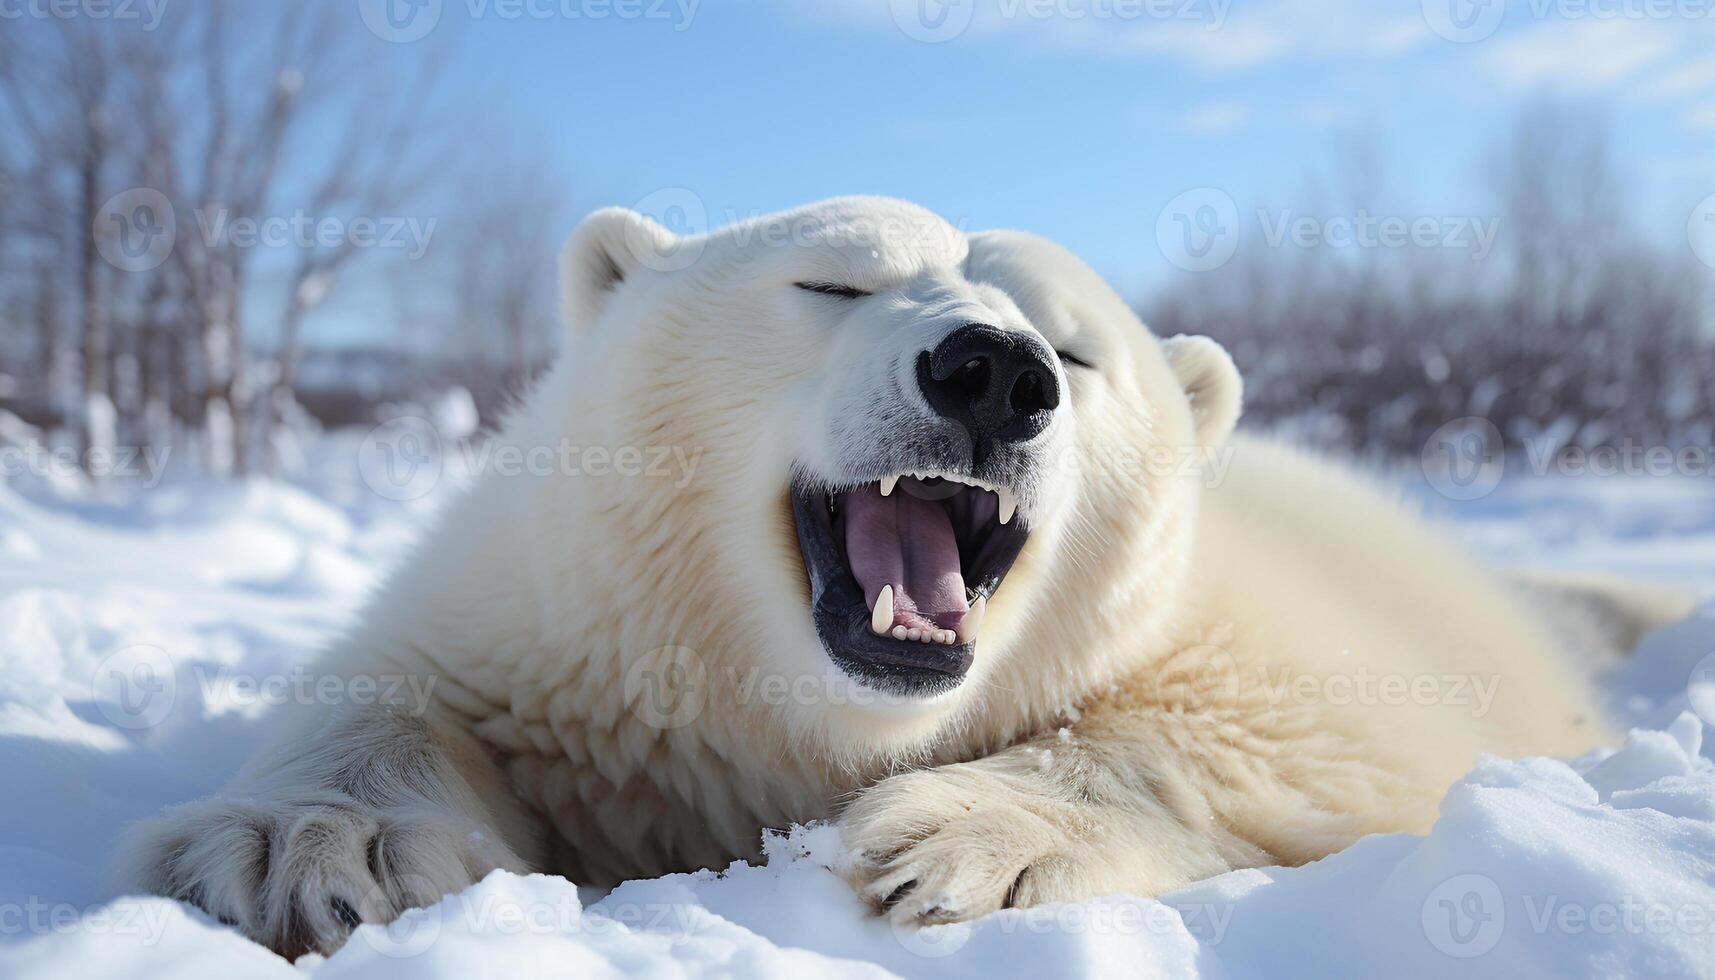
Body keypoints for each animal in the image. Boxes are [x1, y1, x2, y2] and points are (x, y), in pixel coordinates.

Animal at [120, 197, 1687, 961]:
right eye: (832, 281)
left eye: (1079, 348)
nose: (993, 370)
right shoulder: (561, 630)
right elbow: (406, 690)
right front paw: (314, 847)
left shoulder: (1259, 634)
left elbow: (1315, 725)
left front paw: (959, 834)